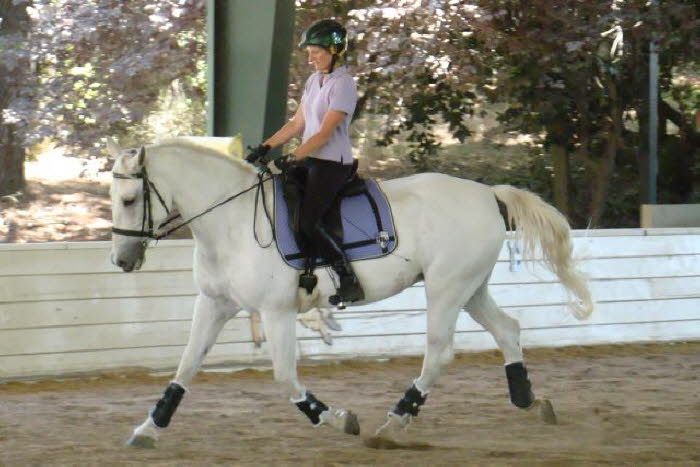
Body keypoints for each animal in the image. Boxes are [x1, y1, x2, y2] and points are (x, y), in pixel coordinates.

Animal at [108, 136, 592, 450]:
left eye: (130, 199)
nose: (121, 260)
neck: (231, 221)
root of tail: (486, 193)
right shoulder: (214, 304)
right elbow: (185, 367)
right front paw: (148, 429)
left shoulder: (276, 311)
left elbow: (284, 376)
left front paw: (338, 419)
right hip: (471, 288)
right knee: (508, 330)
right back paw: (530, 402)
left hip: (447, 288)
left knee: (439, 353)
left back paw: (393, 423)